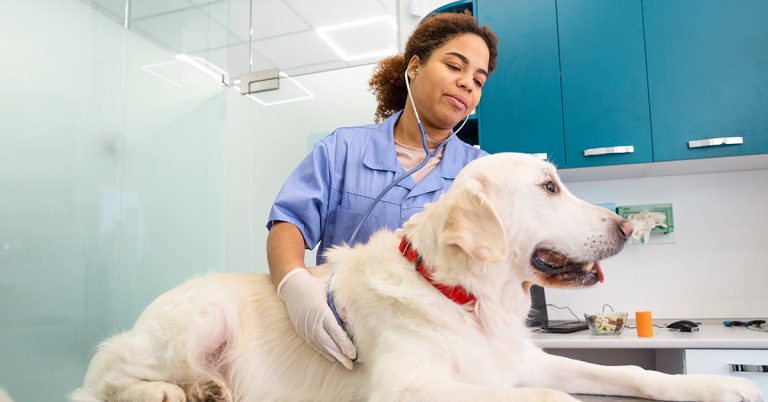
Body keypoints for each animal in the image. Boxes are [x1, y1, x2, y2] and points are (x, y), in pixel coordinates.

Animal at [70, 152, 760, 400]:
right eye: (548, 187)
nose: (625, 226)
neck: (464, 298)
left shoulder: (524, 359)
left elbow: (630, 372)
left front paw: (718, 386)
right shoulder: (406, 386)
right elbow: (547, 399)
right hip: (197, 319)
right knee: (104, 381)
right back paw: (173, 390)